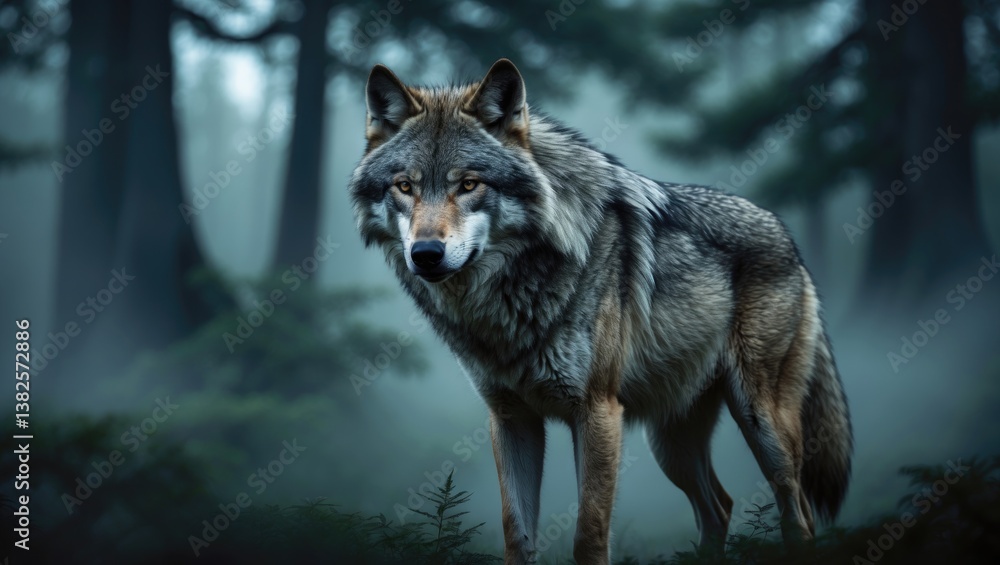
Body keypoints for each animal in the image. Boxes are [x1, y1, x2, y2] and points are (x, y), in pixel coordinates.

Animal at [349, 59, 853, 565]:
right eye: (405, 187)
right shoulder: (511, 419)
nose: (425, 254)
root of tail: (789, 240)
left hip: (761, 423)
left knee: (797, 512)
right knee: (721, 507)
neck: (510, 299)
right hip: (671, 445)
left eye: (469, 184)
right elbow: (517, 534)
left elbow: (588, 535)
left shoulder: (597, 412)